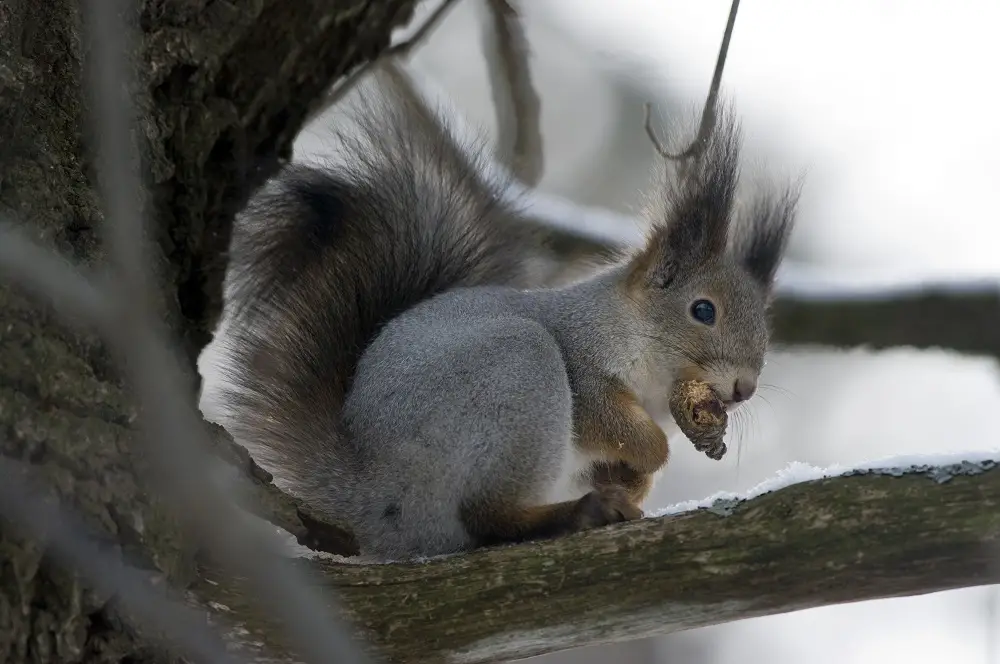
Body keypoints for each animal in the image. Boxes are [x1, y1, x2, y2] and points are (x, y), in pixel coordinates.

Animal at [199, 66, 800, 560]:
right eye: (702, 310)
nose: (744, 388)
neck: (651, 373)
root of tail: (371, 493)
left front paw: (633, 480)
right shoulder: (581, 358)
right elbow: (602, 415)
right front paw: (652, 454)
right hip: (513, 385)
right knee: (487, 519)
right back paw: (574, 514)